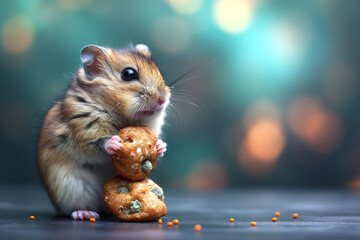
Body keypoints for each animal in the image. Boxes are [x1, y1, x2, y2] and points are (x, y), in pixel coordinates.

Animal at [38, 44, 170, 220]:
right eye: (129, 74)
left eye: (159, 70)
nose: (163, 100)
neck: (121, 115)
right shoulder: (83, 130)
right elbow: (99, 144)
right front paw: (115, 143)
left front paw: (160, 146)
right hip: (72, 187)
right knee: (75, 208)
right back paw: (85, 213)